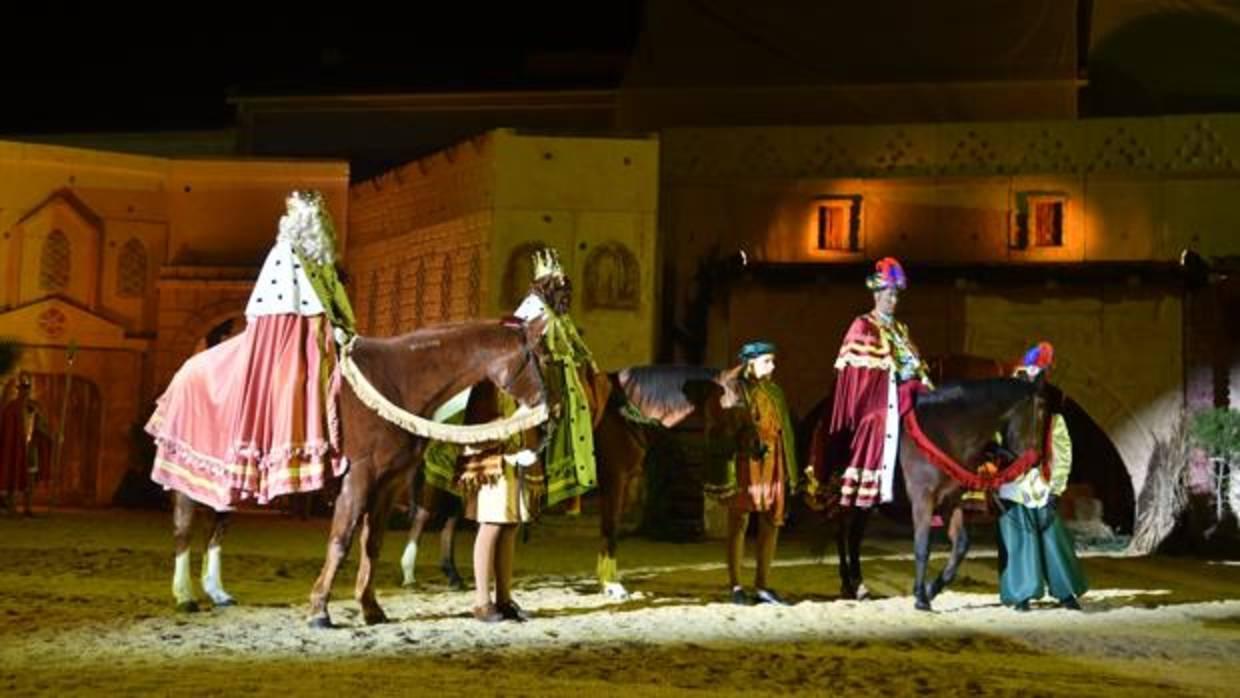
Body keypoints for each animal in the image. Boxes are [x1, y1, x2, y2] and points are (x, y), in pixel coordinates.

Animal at [168, 317, 548, 627]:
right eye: (540, 357)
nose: (546, 412)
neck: (397, 381)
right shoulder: (358, 479)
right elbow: (341, 541)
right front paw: (319, 609)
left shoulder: (388, 484)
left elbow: (373, 543)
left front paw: (370, 607)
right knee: (185, 528)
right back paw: (185, 595)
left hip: (229, 481)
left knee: (217, 527)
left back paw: (216, 592)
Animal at [828, 376, 1051, 612]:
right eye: (1041, 410)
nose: (1036, 462)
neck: (945, 432)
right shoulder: (922, 500)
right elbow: (922, 546)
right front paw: (920, 597)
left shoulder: (950, 501)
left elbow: (961, 544)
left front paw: (931, 590)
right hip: (848, 497)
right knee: (841, 534)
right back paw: (849, 584)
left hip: (867, 503)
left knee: (854, 537)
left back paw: (859, 587)